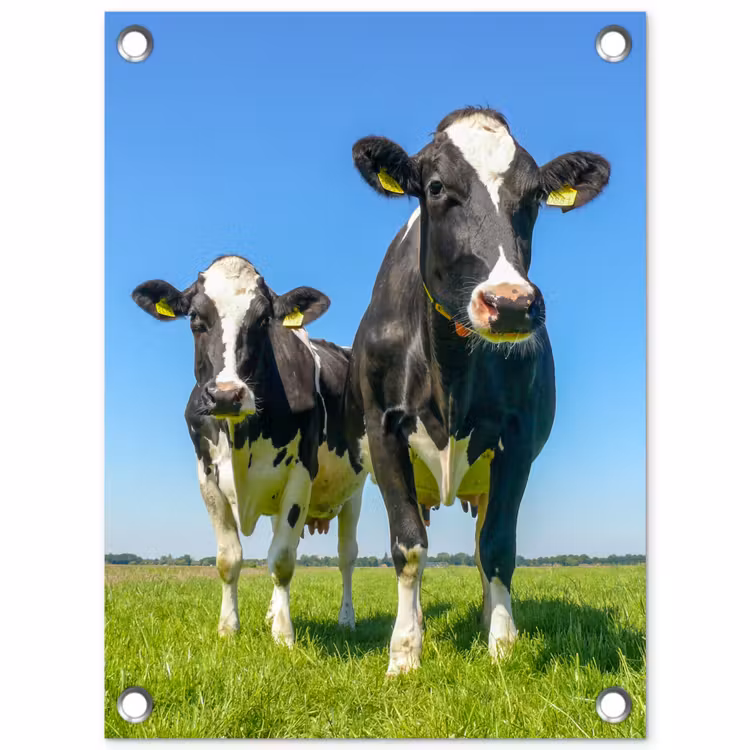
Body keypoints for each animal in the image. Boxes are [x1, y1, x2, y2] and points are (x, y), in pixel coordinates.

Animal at [132, 255, 366, 645]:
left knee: (346, 556)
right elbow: (229, 558)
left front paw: (283, 635)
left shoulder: (301, 473)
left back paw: (346, 619)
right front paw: (229, 628)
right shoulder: (207, 477)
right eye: (195, 319)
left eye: (263, 320)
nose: (227, 394)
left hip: (356, 490)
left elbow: (283, 558)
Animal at [345, 107, 610, 676]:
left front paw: (502, 645)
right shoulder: (384, 430)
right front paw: (404, 652)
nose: (509, 304)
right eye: (436, 187)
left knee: (482, 538)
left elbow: (497, 547)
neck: (449, 369)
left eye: (534, 196)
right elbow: (408, 546)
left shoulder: (517, 440)